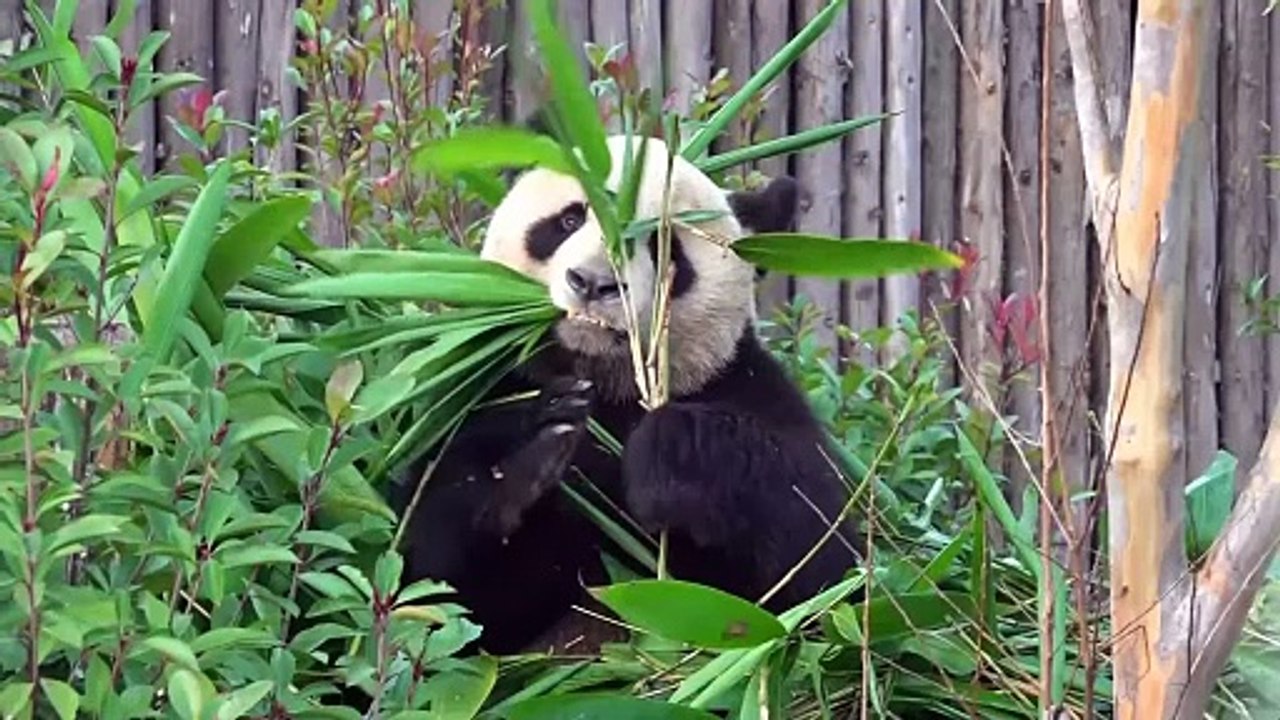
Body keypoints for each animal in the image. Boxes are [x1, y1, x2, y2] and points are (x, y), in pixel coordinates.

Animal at [394, 131, 860, 655]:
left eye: (664, 247)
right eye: (569, 220)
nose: (593, 282)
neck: (606, 383)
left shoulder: (746, 385)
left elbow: (822, 572)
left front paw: (672, 454)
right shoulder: (478, 401)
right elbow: (439, 595)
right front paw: (535, 449)